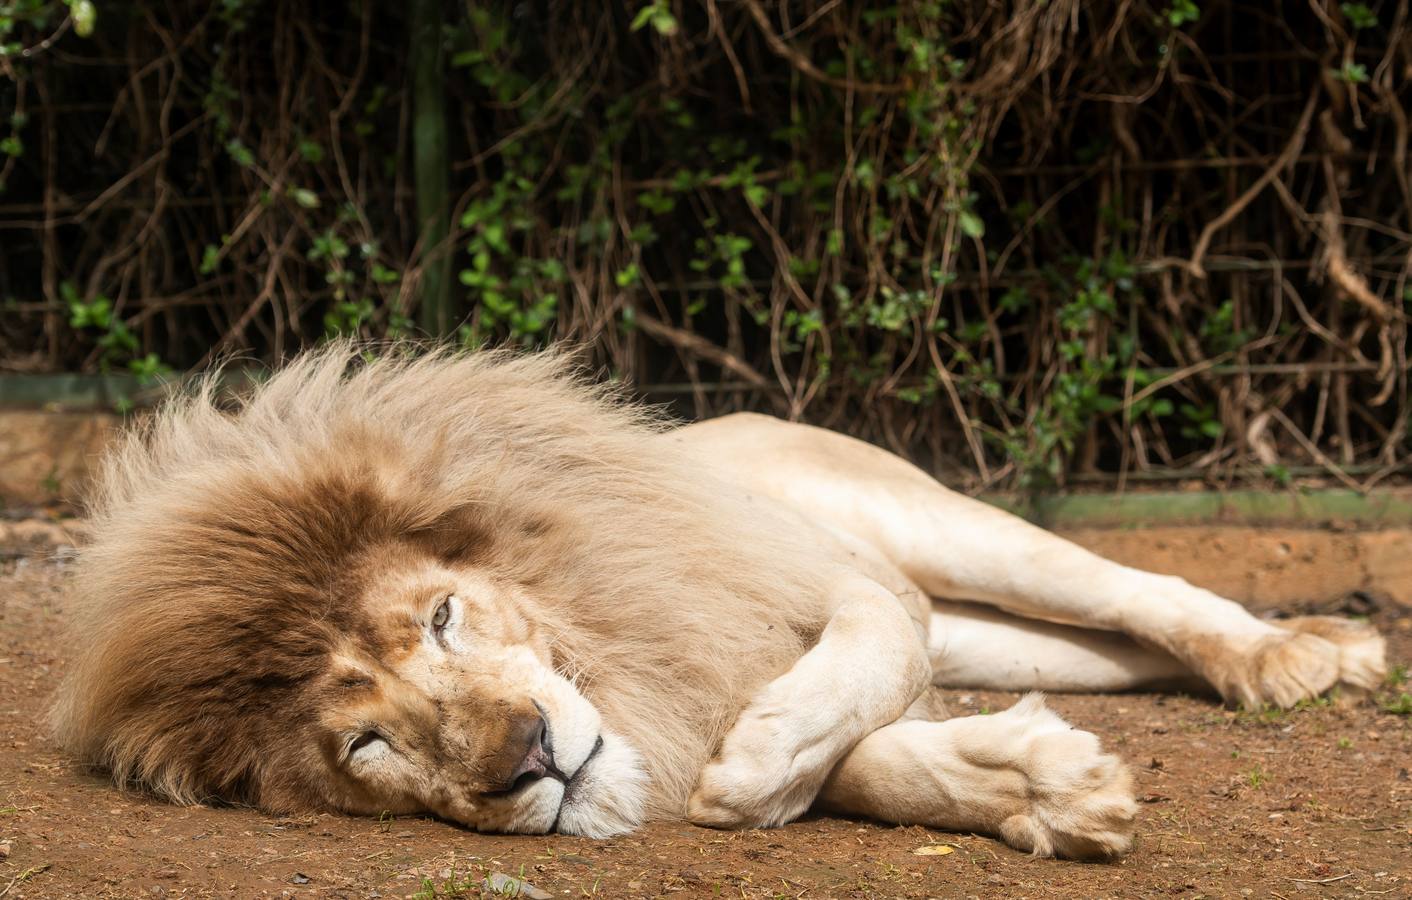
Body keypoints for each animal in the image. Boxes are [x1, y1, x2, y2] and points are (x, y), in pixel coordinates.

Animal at [49, 343, 1383, 859]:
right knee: (1098, 649)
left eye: (440, 618)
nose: (528, 758)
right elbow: (880, 764)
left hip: (927, 530)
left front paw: (761, 757)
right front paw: (1046, 788)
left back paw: (1295, 660)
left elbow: (863, 662)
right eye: (364, 746)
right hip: (1012, 638)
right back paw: (1314, 653)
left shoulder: (838, 583)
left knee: (1133, 589)